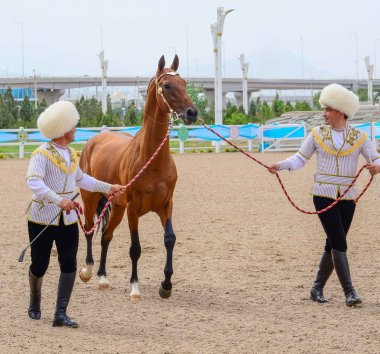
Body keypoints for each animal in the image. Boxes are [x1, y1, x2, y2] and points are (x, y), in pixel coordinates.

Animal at [77, 54, 196, 298]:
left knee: (106, 236)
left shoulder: (165, 205)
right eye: (167, 85)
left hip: (117, 207)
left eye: (184, 83)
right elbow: (135, 248)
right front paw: (134, 288)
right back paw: (88, 271)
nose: (192, 113)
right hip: (91, 198)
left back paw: (103, 278)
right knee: (89, 230)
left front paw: (166, 285)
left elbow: (170, 239)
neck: (151, 159)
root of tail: (94, 141)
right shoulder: (133, 209)